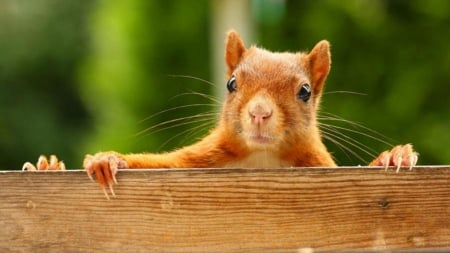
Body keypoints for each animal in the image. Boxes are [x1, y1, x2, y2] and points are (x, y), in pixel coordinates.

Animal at [23, 30, 418, 199]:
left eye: (305, 91)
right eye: (231, 83)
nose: (259, 112)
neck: (262, 158)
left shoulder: (318, 165)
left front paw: (392, 157)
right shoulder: (198, 160)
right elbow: (154, 163)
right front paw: (107, 160)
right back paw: (48, 166)